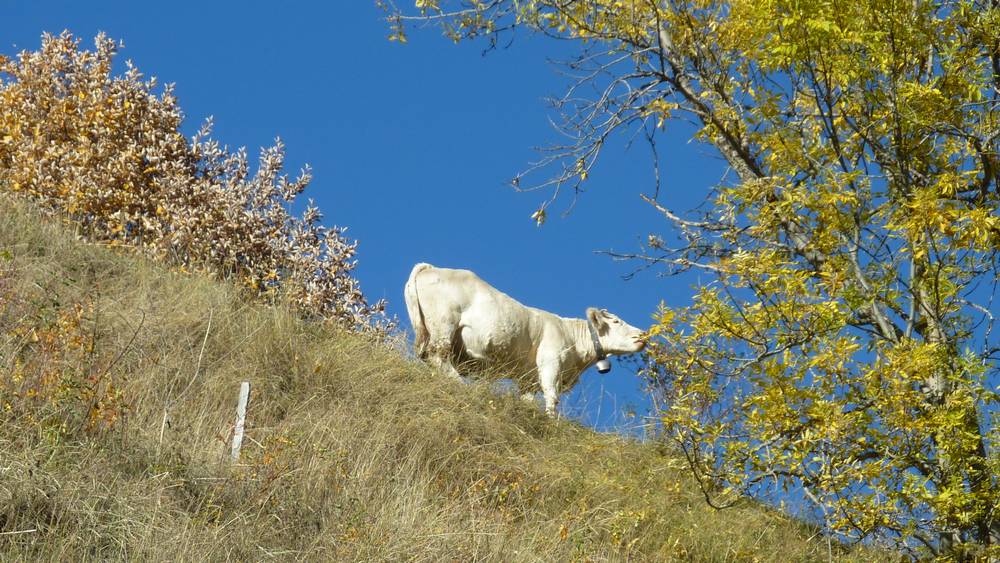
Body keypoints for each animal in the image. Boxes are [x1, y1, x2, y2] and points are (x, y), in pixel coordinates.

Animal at [402, 262, 644, 416]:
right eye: (616, 322)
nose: (641, 336)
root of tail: (430, 267)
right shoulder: (550, 362)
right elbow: (552, 396)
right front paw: (552, 421)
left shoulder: (528, 379)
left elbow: (528, 400)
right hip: (444, 325)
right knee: (439, 357)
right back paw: (463, 385)